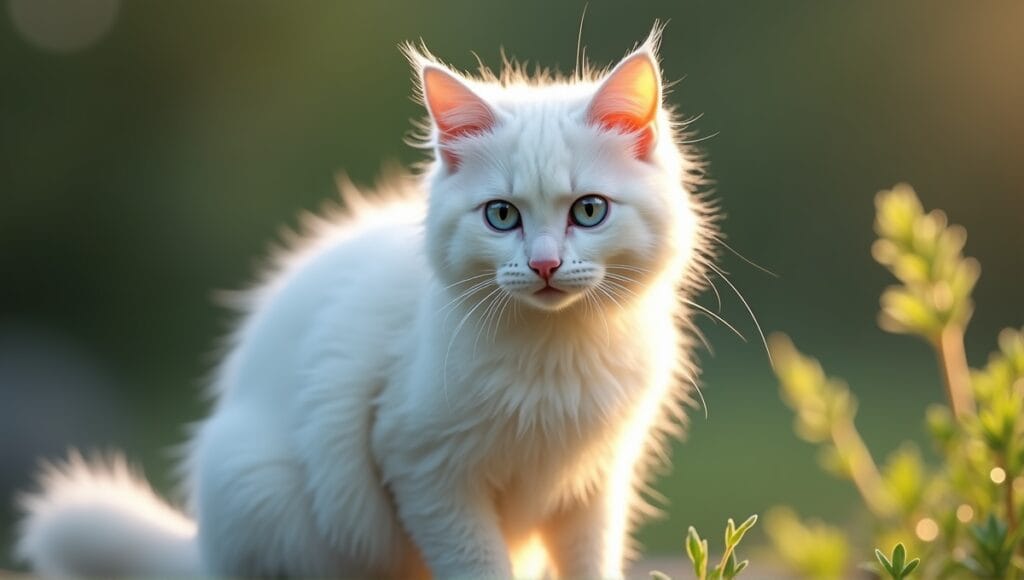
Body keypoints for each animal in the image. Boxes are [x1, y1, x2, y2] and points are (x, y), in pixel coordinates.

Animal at [19, 28, 716, 580]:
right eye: (501, 216)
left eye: (589, 211)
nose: (544, 265)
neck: (557, 356)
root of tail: (203, 552)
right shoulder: (424, 468)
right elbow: (477, 566)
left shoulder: (595, 484)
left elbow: (590, 564)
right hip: (264, 490)